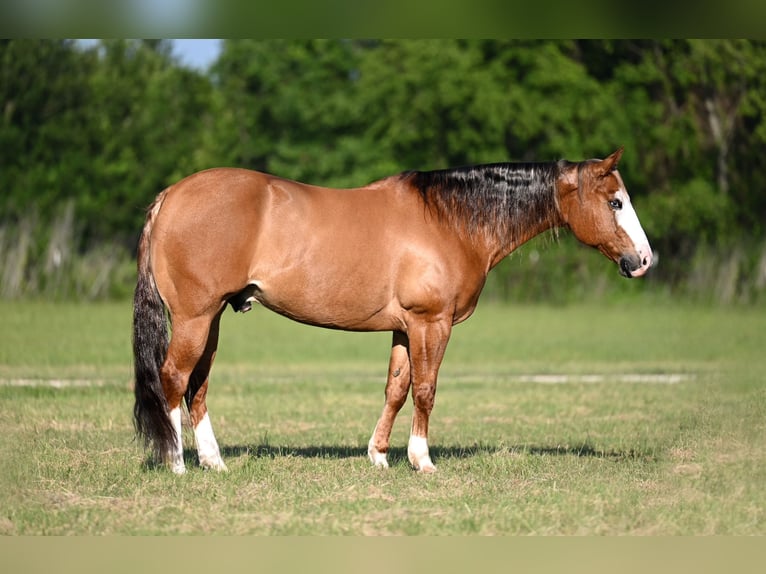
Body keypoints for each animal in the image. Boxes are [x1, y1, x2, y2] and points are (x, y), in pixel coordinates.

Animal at [132, 147, 652, 474]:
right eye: (615, 201)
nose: (644, 261)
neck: (450, 221)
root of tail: (170, 196)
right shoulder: (431, 323)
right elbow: (425, 389)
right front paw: (422, 460)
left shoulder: (405, 328)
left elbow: (396, 389)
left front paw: (379, 455)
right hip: (196, 318)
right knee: (174, 378)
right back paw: (177, 464)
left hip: (213, 318)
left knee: (198, 385)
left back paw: (214, 462)